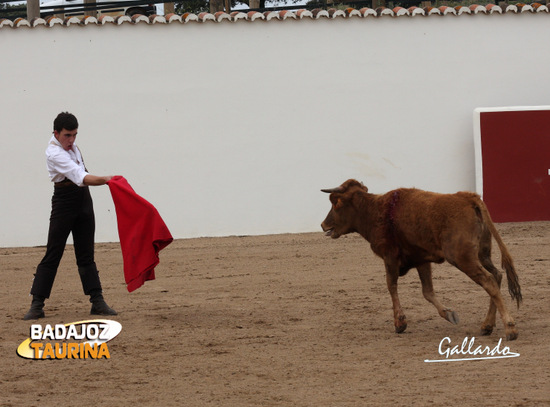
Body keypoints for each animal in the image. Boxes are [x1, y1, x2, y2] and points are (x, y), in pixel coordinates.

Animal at [322, 179, 524, 342]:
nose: (323, 225)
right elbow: (427, 291)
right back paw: (487, 326)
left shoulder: (389, 257)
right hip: (482, 255)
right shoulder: (422, 260)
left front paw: (400, 323)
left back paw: (510, 329)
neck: (374, 211)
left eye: (336, 202)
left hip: (463, 258)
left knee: (489, 281)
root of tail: (467, 197)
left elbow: (391, 285)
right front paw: (448, 314)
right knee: (496, 276)